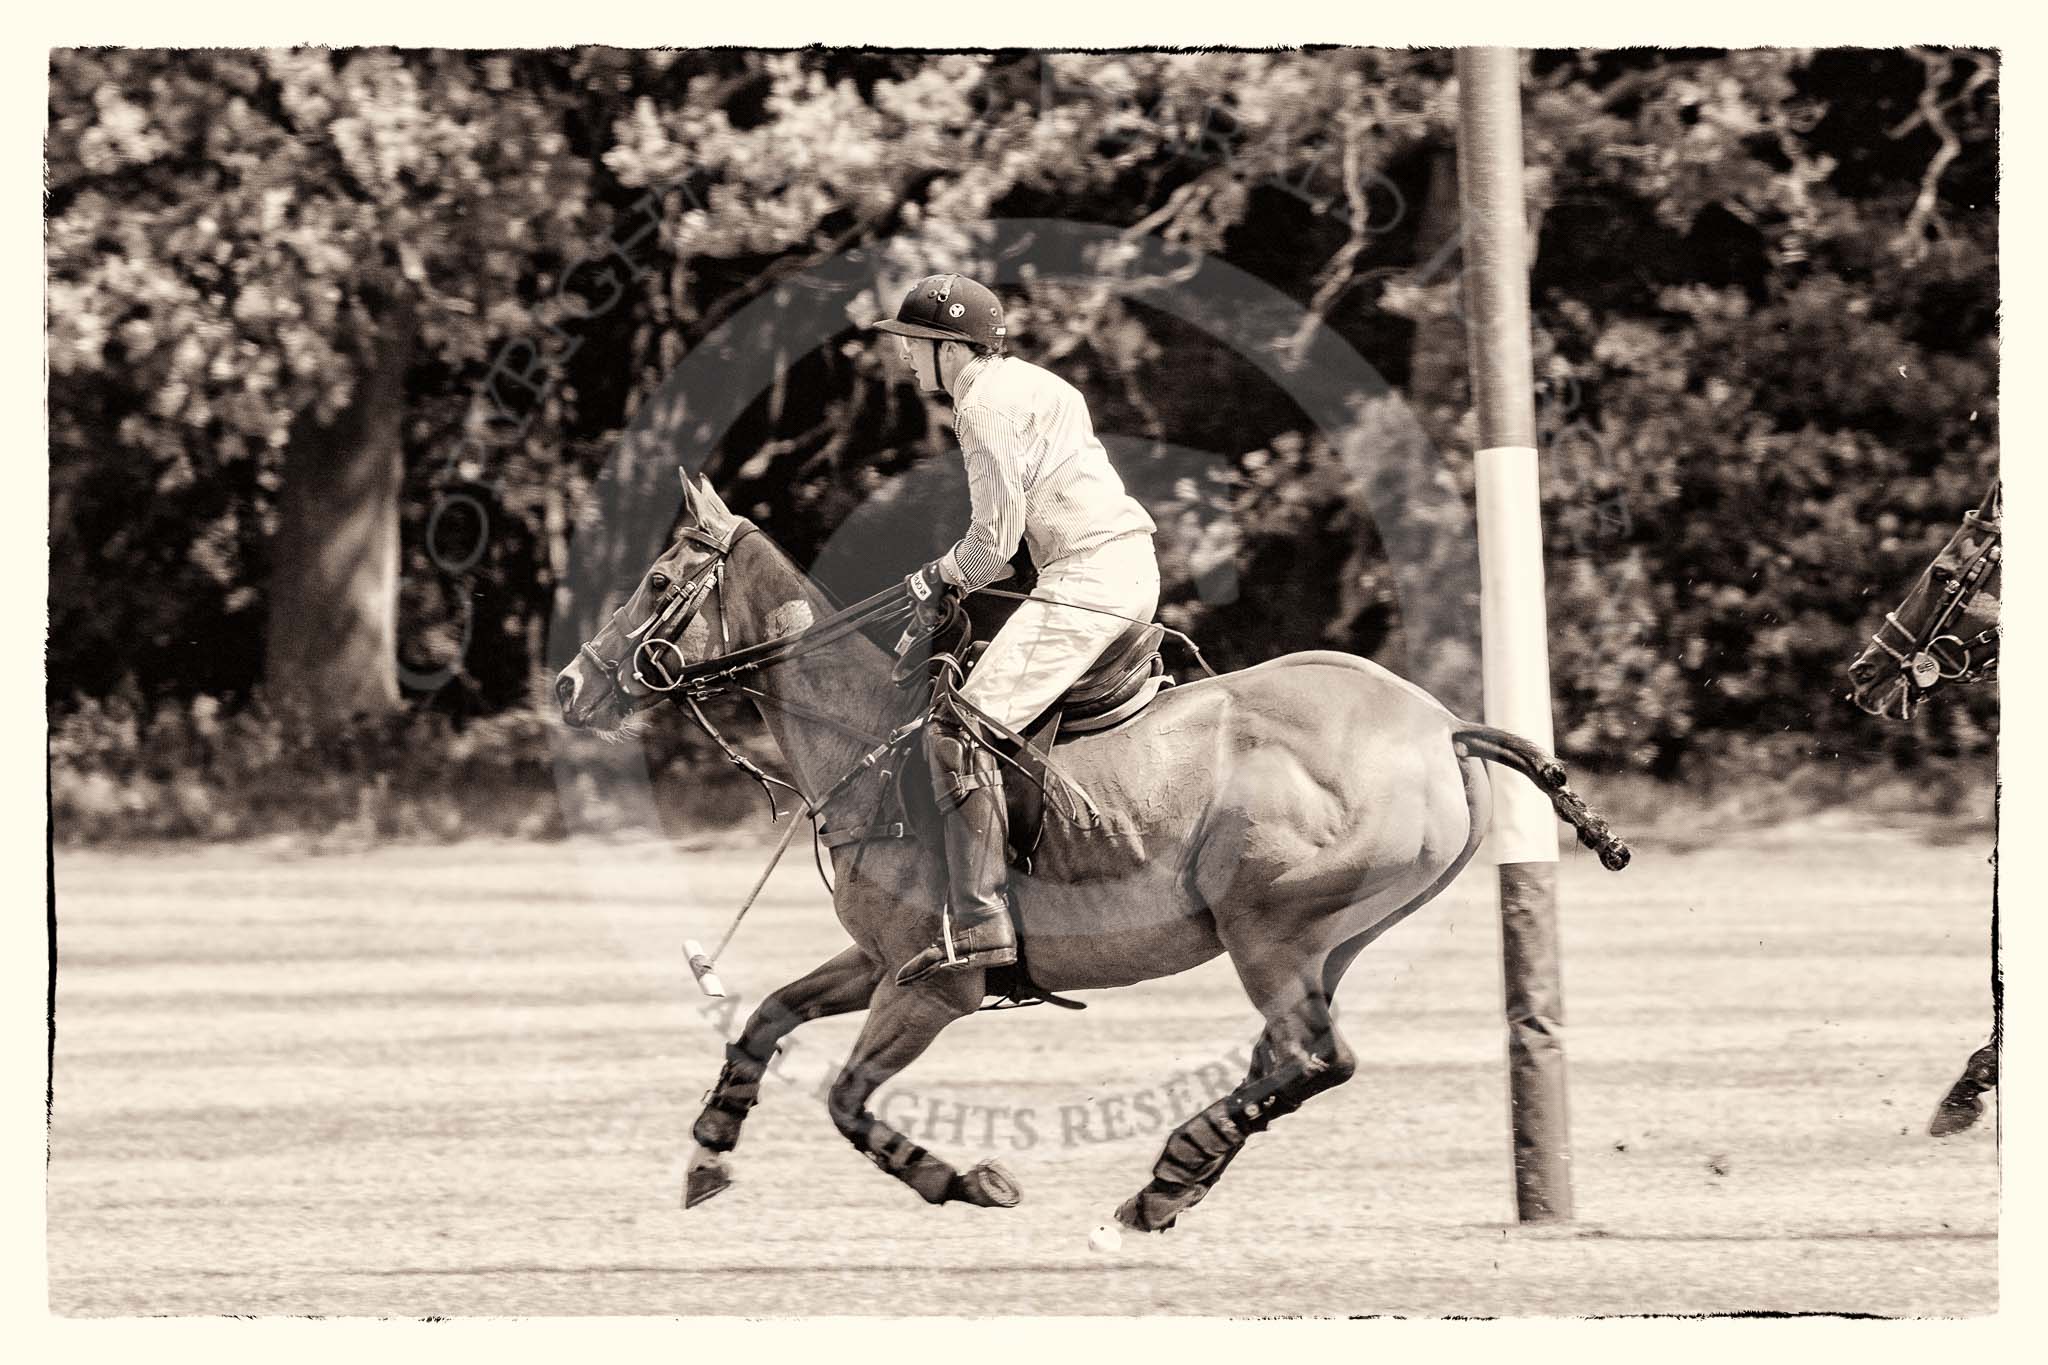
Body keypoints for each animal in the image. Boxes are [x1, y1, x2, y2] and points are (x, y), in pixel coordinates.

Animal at [548, 480, 1630, 1236]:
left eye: (656, 583)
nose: (568, 686)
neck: (868, 742)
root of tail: (1445, 725)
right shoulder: (880, 958)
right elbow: (764, 1019)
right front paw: (707, 1153)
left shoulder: (937, 983)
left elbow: (849, 1101)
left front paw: (969, 1180)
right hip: (1333, 937)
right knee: (1289, 1056)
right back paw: (1173, 1184)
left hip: (1268, 925)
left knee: (1314, 1055)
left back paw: (1165, 1178)